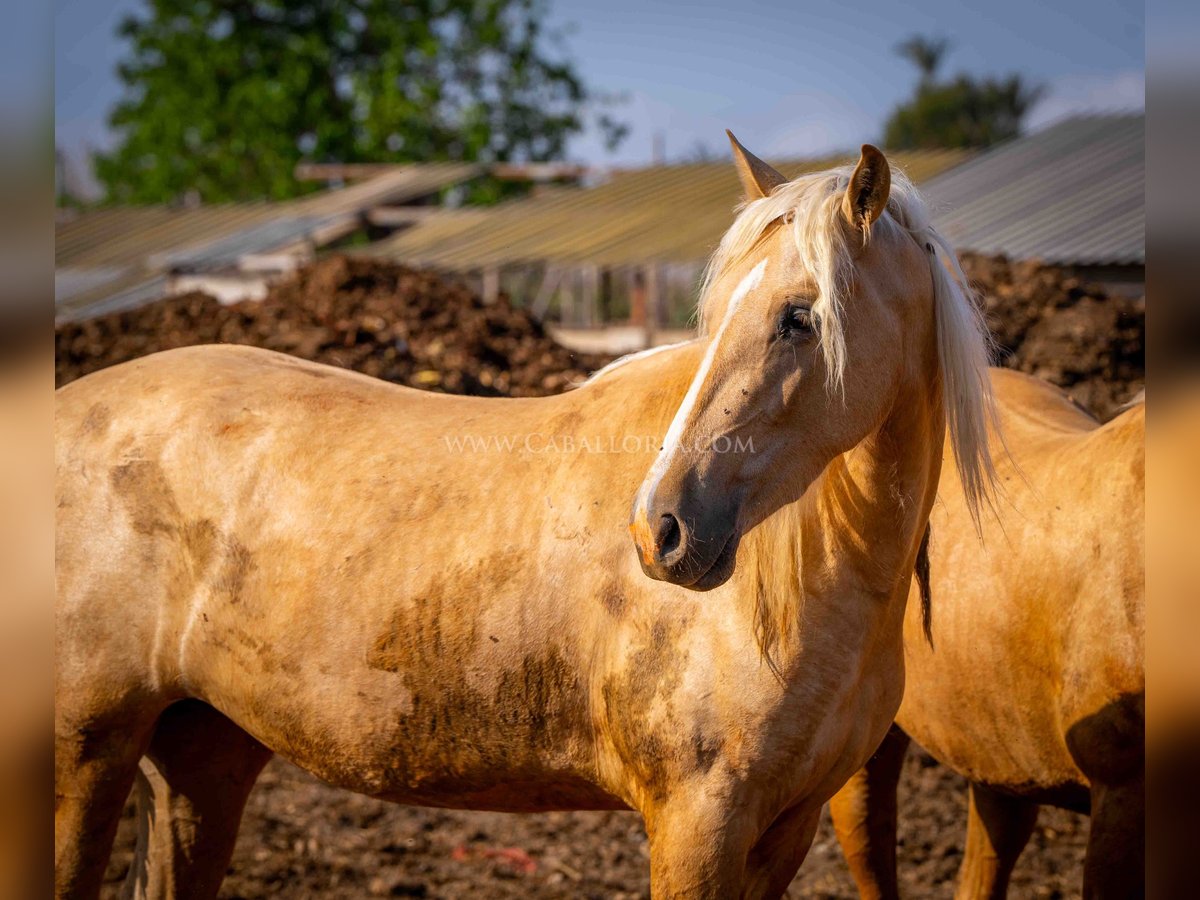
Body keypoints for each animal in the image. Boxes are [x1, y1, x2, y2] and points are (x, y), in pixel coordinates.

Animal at [54, 135, 993, 900]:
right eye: (718, 311)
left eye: (801, 317)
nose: (661, 529)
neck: (810, 587)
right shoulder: (698, 826)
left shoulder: (784, 829)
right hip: (87, 751)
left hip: (200, 757)